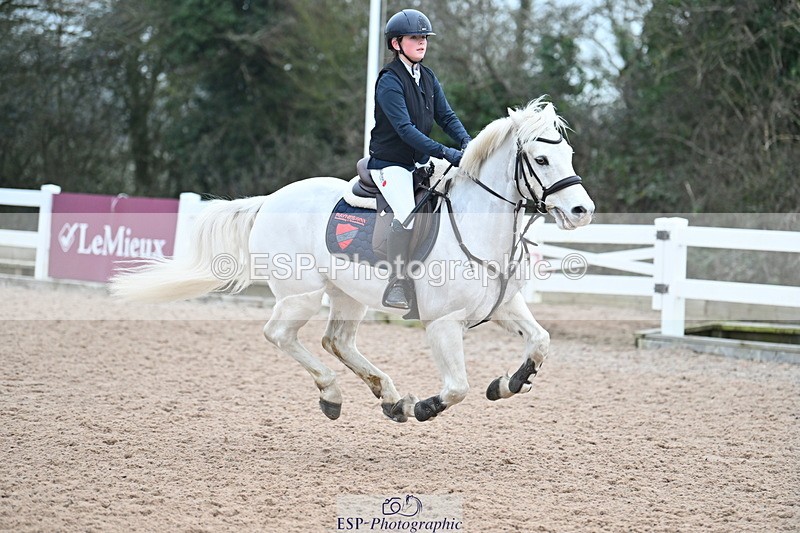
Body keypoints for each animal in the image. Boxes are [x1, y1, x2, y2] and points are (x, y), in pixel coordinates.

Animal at [110, 97, 595, 423]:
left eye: (569, 155)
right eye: (541, 158)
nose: (581, 211)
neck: (478, 227)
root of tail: (269, 200)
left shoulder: (506, 306)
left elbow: (540, 342)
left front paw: (508, 383)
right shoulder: (442, 324)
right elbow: (457, 388)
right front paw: (426, 406)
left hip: (348, 294)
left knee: (337, 340)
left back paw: (390, 397)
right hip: (302, 294)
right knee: (280, 334)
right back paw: (335, 395)